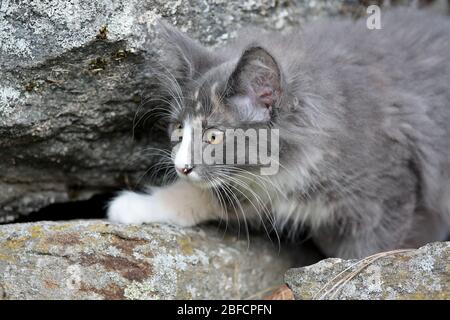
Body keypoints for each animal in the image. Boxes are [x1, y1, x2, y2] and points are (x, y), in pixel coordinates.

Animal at [108, 9, 450, 260]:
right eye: (179, 129)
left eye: (214, 137)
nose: (181, 167)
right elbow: (210, 196)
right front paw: (139, 205)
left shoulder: (390, 192)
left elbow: (369, 252)